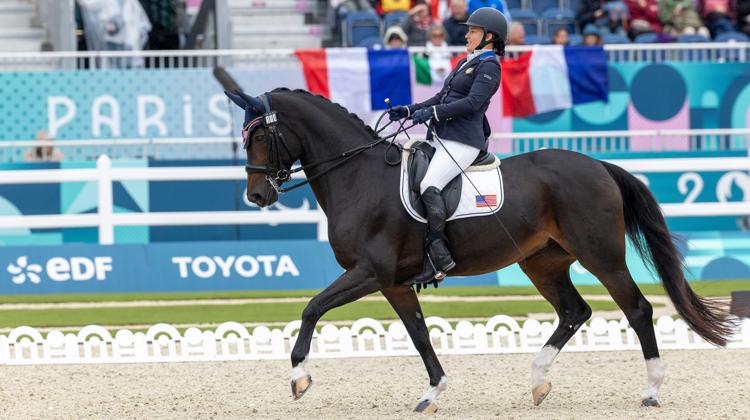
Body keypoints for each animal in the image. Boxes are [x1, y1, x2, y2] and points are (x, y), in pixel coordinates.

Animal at [226, 88, 732, 414]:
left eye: (260, 136)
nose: (256, 196)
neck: (358, 176)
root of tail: (598, 164)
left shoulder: (370, 272)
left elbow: (312, 308)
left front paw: (299, 377)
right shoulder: (394, 284)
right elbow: (419, 335)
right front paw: (432, 394)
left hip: (600, 255)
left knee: (638, 309)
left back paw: (651, 390)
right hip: (542, 262)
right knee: (575, 311)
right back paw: (538, 382)